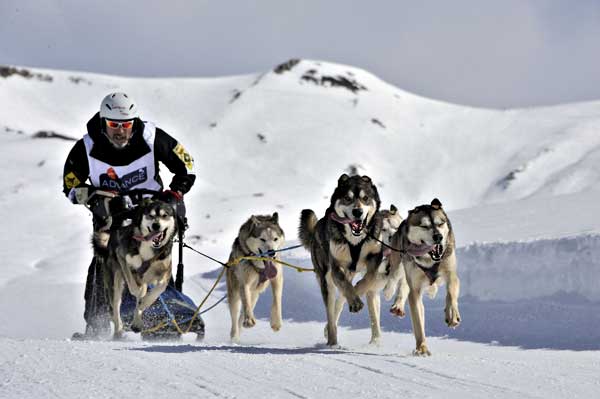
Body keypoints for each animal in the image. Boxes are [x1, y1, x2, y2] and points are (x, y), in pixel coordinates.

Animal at [103, 200, 177, 340]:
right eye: (150, 215)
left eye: (164, 215)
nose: (156, 225)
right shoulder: (123, 259)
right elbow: (135, 289)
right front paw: (139, 294)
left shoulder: (165, 273)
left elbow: (155, 291)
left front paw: (142, 307)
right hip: (115, 279)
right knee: (116, 305)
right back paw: (118, 331)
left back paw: (136, 322)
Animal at [226, 212, 284, 344]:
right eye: (262, 239)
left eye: (275, 239)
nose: (271, 252)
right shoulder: (244, 283)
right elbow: (245, 303)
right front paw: (249, 321)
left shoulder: (277, 278)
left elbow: (277, 299)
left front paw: (276, 322)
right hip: (234, 294)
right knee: (236, 314)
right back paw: (235, 335)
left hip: (254, 296)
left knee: (243, 313)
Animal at [300, 175, 384, 346]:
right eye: (347, 198)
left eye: (365, 198)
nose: (357, 211)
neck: (355, 241)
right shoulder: (336, 266)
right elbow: (345, 286)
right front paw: (355, 301)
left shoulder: (374, 258)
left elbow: (368, 279)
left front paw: (357, 291)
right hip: (326, 280)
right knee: (331, 313)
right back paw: (332, 341)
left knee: (342, 301)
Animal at [386, 199, 462, 356]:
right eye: (424, 226)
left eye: (440, 223)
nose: (438, 236)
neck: (429, 260)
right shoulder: (415, 290)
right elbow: (418, 322)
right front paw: (422, 348)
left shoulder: (451, 273)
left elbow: (451, 293)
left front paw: (452, 314)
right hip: (399, 265)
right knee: (399, 282)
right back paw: (397, 304)